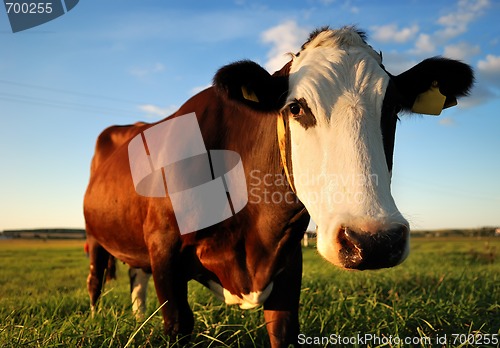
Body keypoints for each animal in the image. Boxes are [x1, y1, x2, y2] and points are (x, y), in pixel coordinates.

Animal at [84, 25, 474, 346]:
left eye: (391, 108)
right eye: (296, 107)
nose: (373, 241)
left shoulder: (287, 261)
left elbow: (283, 330)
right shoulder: (164, 250)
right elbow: (177, 322)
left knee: (136, 276)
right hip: (94, 238)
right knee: (95, 281)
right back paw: (94, 317)